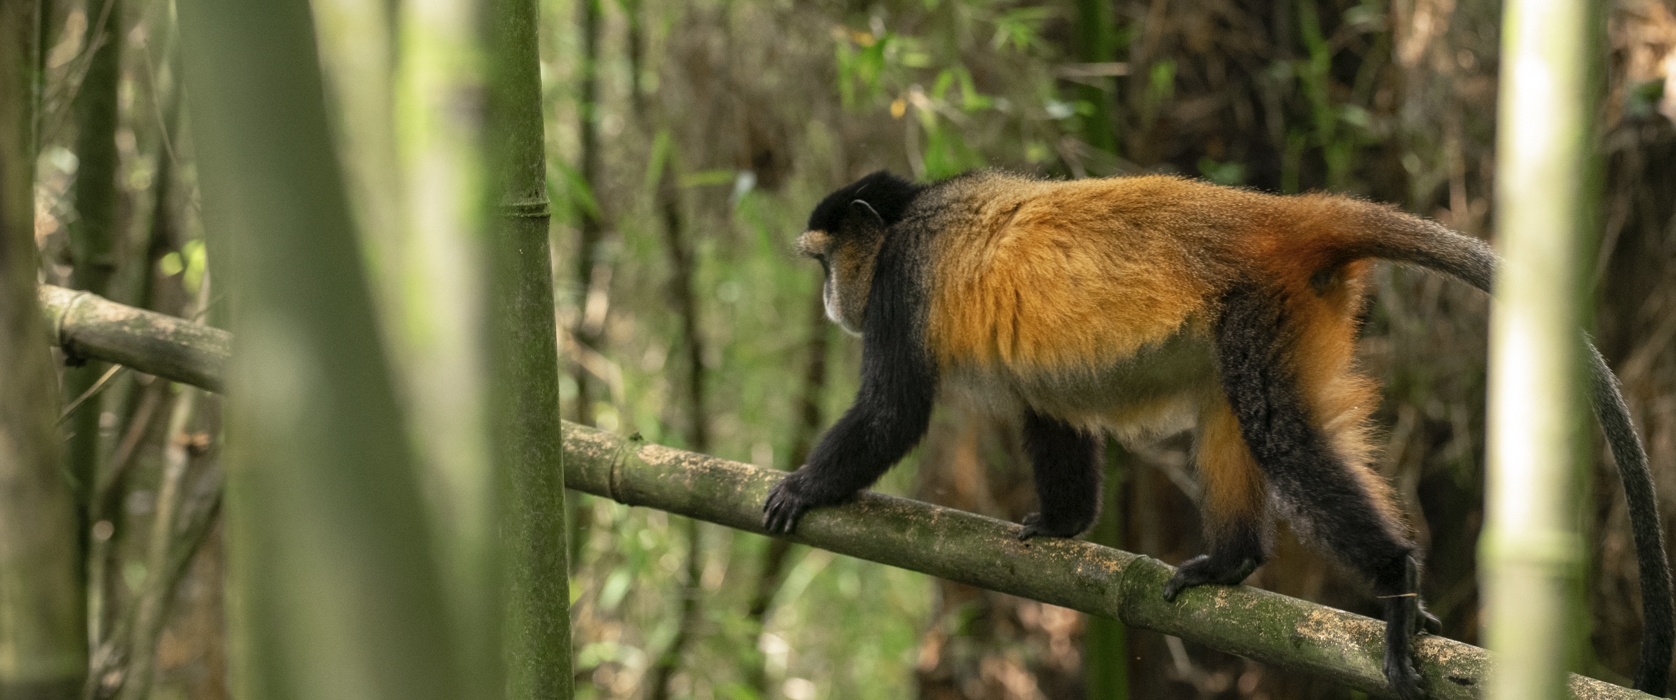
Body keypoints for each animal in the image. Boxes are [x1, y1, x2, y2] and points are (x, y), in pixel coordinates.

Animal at [760, 170, 1673, 700]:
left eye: (825, 263)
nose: (827, 301)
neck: (912, 212)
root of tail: (1271, 215)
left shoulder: (902, 282)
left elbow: (892, 411)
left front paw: (802, 487)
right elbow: (1049, 411)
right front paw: (1059, 524)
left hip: (1264, 299)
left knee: (1275, 429)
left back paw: (1395, 578)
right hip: (1293, 308)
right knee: (1229, 410)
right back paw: (1233, 562)